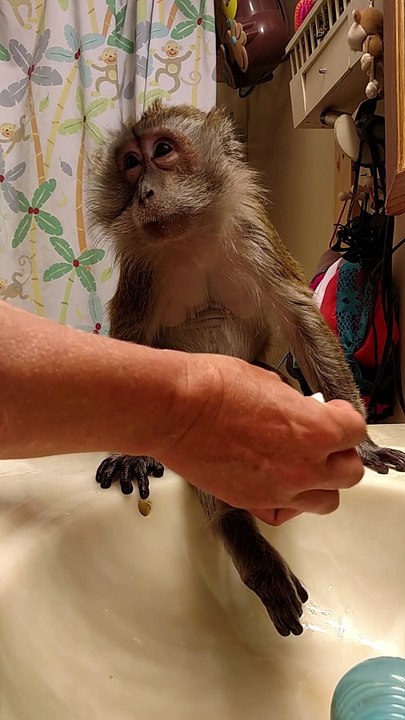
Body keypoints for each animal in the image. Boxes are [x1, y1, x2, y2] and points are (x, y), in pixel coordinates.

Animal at [87, 101, 405, 638]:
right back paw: (242, 536)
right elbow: (133, 346)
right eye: (130, 163)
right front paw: (130, 452)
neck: (190, 237)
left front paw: (360, 443)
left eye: (163, 150)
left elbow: (299, 317)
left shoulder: (254, 237)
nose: (145, 192)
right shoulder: (141, 271)